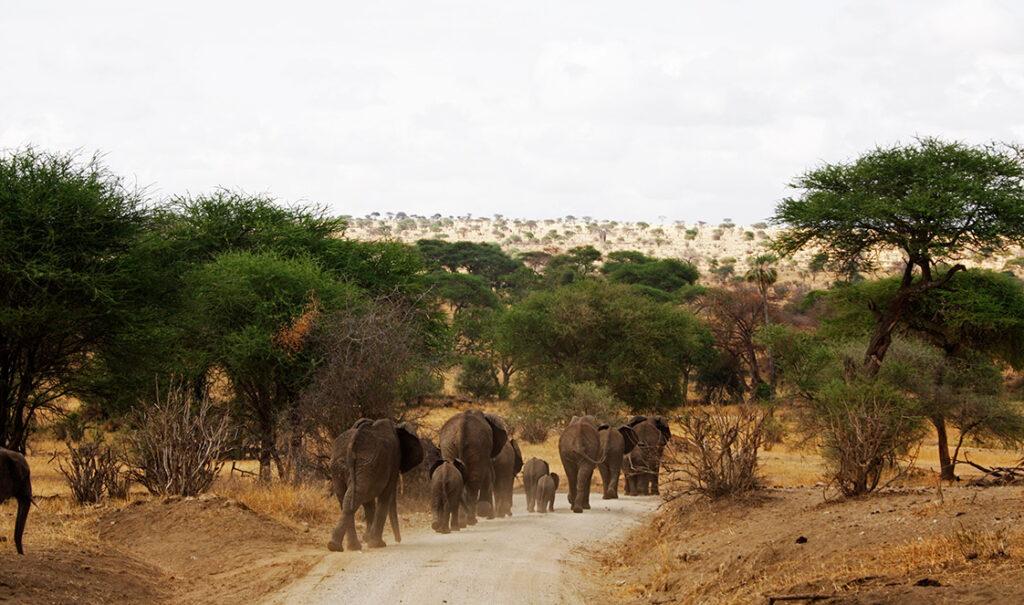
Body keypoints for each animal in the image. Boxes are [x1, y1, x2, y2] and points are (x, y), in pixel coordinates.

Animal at [327, 419, 423, 552]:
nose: (398, 540)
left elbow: (369, 502)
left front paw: (368, 540)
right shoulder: (393, 461)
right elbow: (385, 496)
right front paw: (377, 544)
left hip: (344, 467)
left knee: (346, 499)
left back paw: (341, 546)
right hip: (358, 465)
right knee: (354, 497)